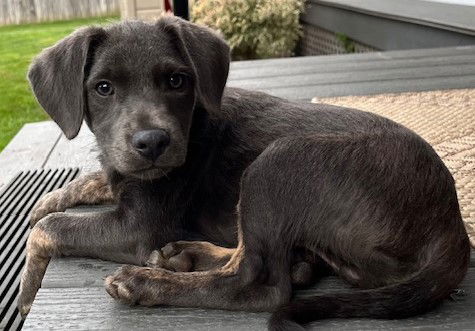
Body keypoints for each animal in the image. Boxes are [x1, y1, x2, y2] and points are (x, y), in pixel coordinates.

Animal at [19, 14, 472, 330]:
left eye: (177, 80)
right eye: (103, 88)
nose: (153, 143)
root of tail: (451, 224)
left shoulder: (138, 227)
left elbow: (48, 229)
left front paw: (26, 292)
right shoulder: (123, 169)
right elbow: (82, 184)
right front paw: (46, 201)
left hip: (276, 162)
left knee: (258, 283)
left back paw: (147, 281)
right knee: (253, 252)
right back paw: (188, 255)